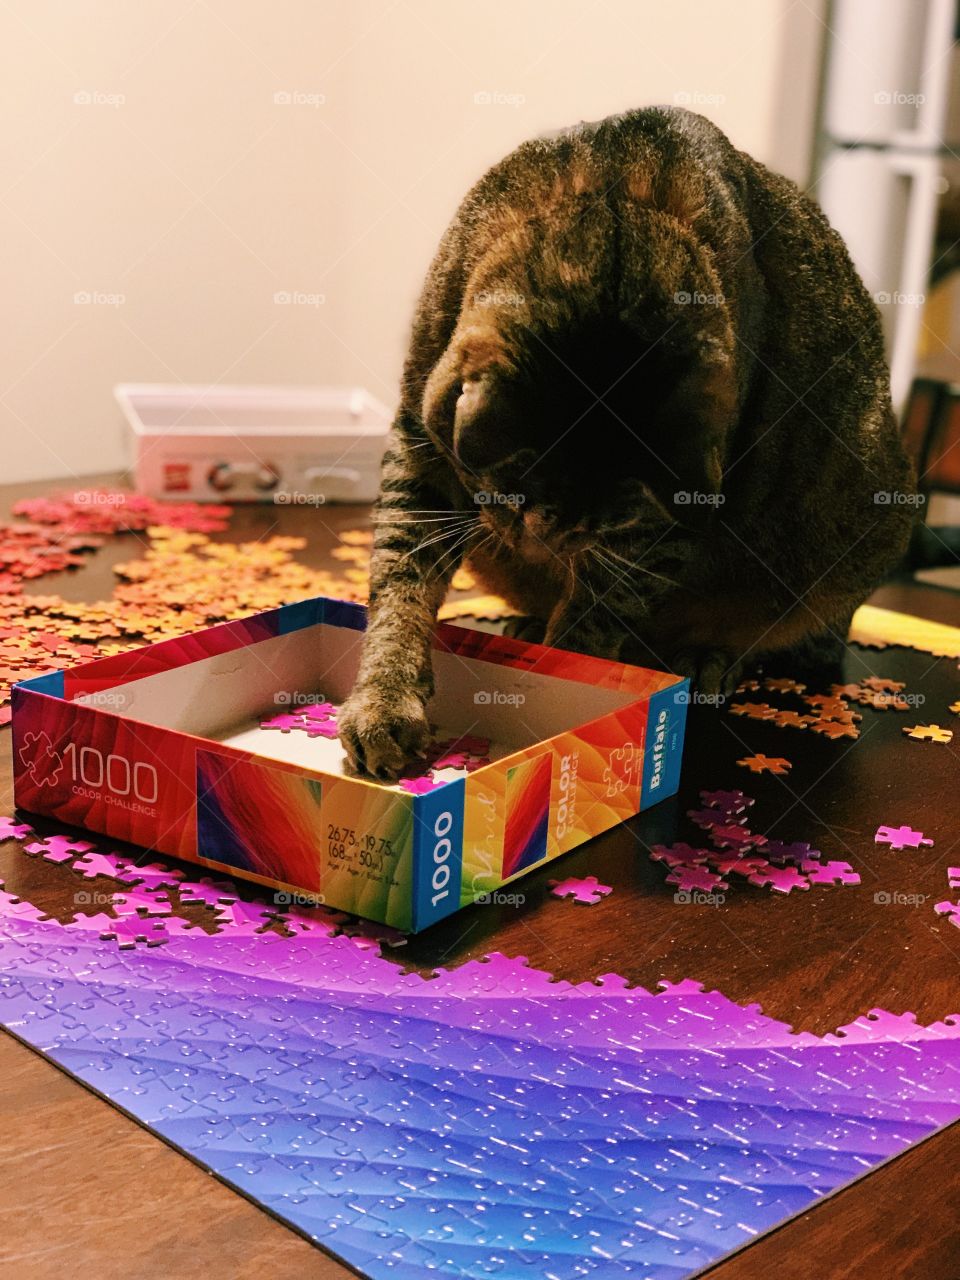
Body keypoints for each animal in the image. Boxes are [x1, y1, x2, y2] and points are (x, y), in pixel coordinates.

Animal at [337, 107, 916, 778]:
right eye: (513, 485)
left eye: (616, 516)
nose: (548, 542)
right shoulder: (420, 445)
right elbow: (400, 582)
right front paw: (383, 703)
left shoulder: (669, 520)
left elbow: (592, 625)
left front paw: (564, 702)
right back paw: (526, 623)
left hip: (857, 529)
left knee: (780, 635)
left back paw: (706, 659)